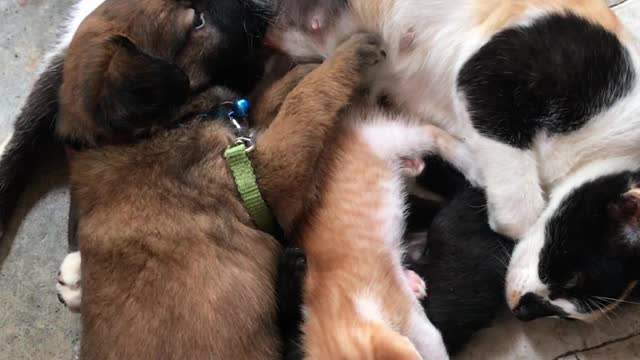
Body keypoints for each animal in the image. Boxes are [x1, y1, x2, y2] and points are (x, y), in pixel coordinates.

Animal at [57, 0, 384, 358]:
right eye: (197, 22)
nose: (262, 5)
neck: (150, 132)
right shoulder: (264, 180)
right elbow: (304, 105)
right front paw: (346, 55)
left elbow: (264, 98)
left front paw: (300, 70)